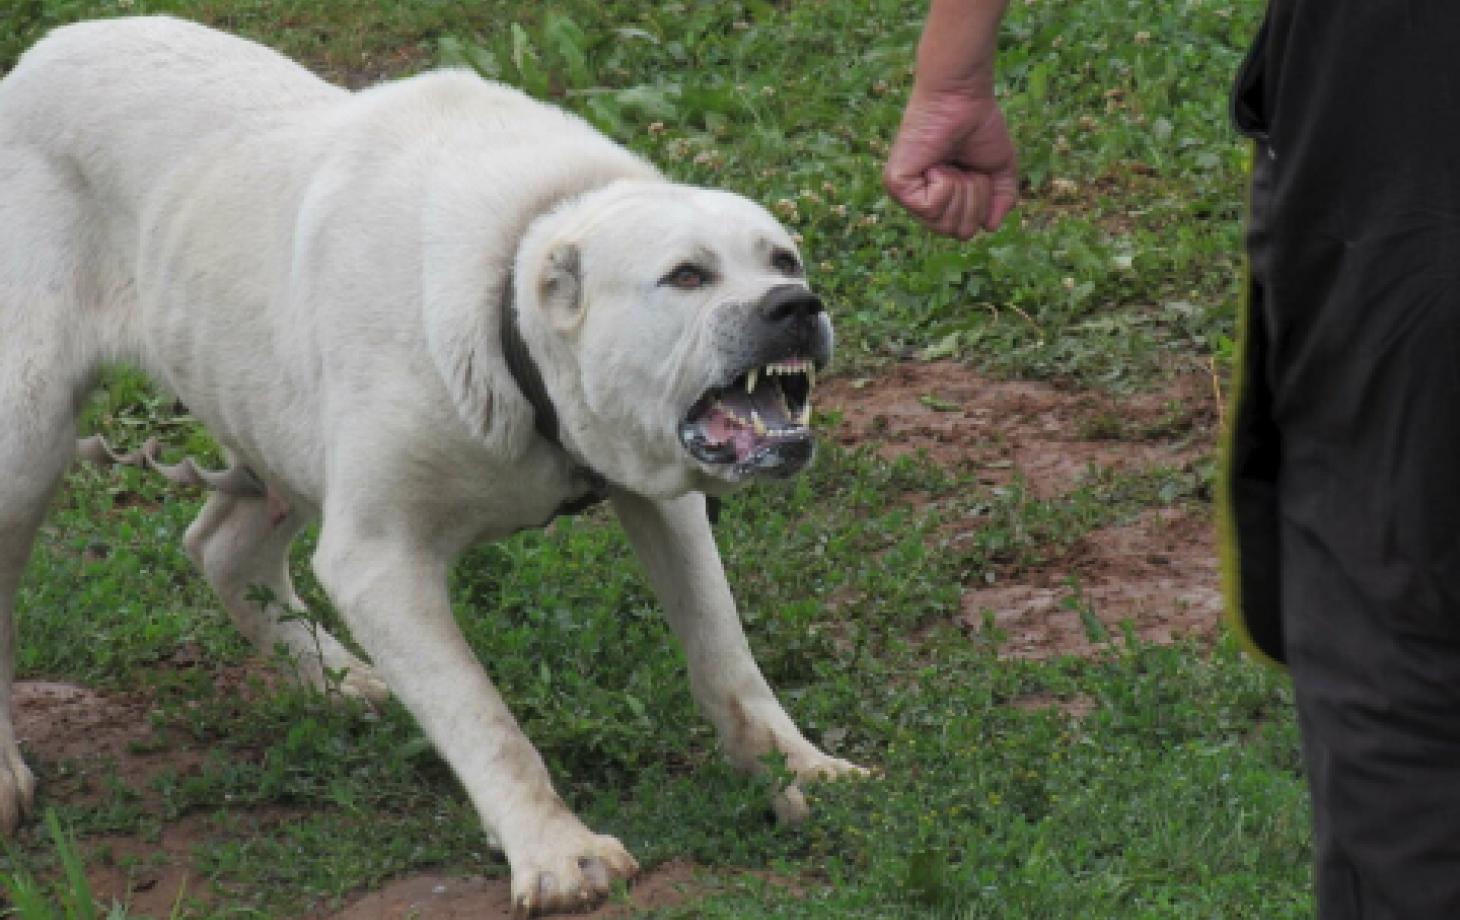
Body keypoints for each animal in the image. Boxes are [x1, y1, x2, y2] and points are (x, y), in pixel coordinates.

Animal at [0, 18, 858, 917]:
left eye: (784, 259)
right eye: (686, 276)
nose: (797, 307)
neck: (511, 313)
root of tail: (41, 53)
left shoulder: (665, 501)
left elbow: (726, 654)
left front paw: (800, 770)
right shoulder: (378, 558)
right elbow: (484, 718)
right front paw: (557, 851)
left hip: (273, 416)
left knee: (222, 546)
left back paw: (337, 679)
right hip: (28, 437)